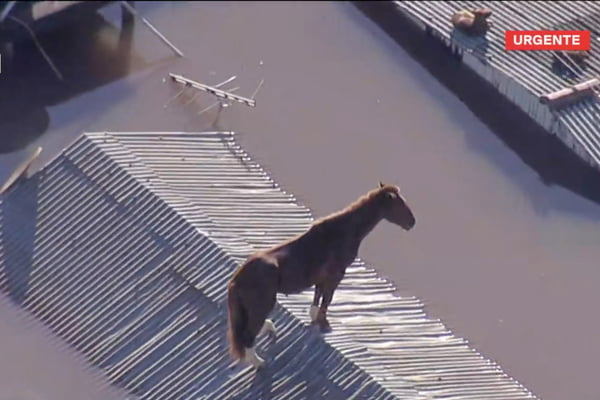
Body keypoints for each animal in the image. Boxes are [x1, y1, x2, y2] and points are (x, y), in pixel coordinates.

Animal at [227, 183, 414, 368]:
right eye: (398, 204)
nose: (412, 222)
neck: (341, 233)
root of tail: (237, 279)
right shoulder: (335, 275)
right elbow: (327, 300)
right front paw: (324, 324)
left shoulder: (321, 279)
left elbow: (317, 298)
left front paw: (316, 320)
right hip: (262, 305)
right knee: (248, 336)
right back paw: (259, 362)